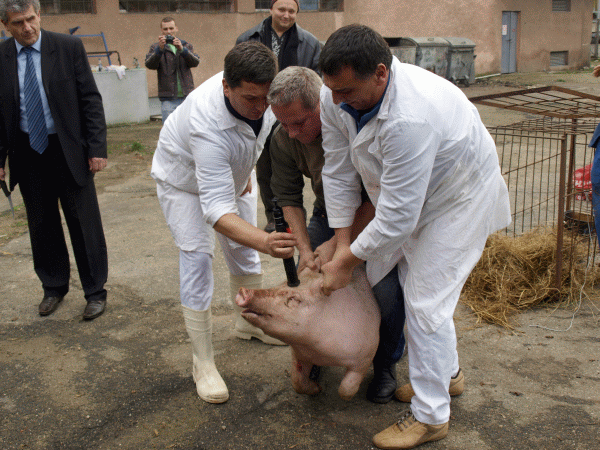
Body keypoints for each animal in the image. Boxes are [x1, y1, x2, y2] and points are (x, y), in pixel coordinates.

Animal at [233, 266, 380, 400]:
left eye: (293, 299)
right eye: (279, 284)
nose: (243, 290)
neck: (320, 353)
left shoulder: (366, 354)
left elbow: (346, 388)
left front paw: (345, 396)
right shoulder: (299, 354)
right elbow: (297, 382)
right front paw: (317, 389)